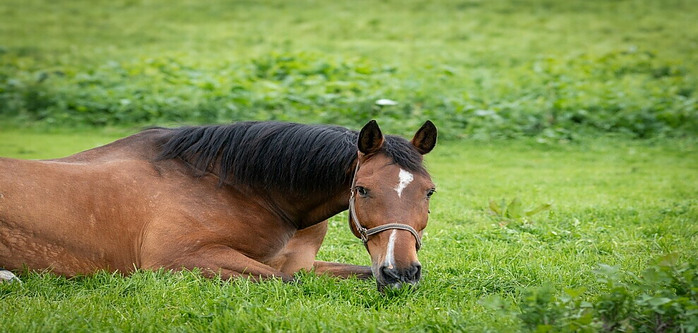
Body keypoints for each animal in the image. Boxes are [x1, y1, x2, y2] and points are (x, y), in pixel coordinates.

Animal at [0, 118, 436, 288]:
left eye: (429, 191)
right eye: (362, 189)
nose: (401, 273)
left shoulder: (303, 263)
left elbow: (346, 273)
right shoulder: (180, 259)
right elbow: (288, 281)